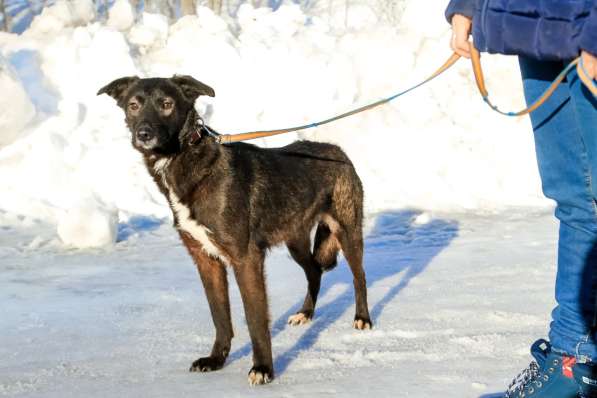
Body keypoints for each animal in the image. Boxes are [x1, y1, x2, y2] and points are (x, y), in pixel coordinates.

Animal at [98, 75, 370, 386]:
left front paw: (263, 368)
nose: (144, 134)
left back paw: (363, 318)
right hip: (295, 239)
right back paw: (305, 314)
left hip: (347, 232)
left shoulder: (246, 259)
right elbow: (220, 316)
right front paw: (216, 359)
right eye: (133, 105)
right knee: (314, 270)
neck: (188, 160)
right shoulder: (207, 261)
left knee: (359, 276)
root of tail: (337, 151)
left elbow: (254, 319)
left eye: (166, 104)